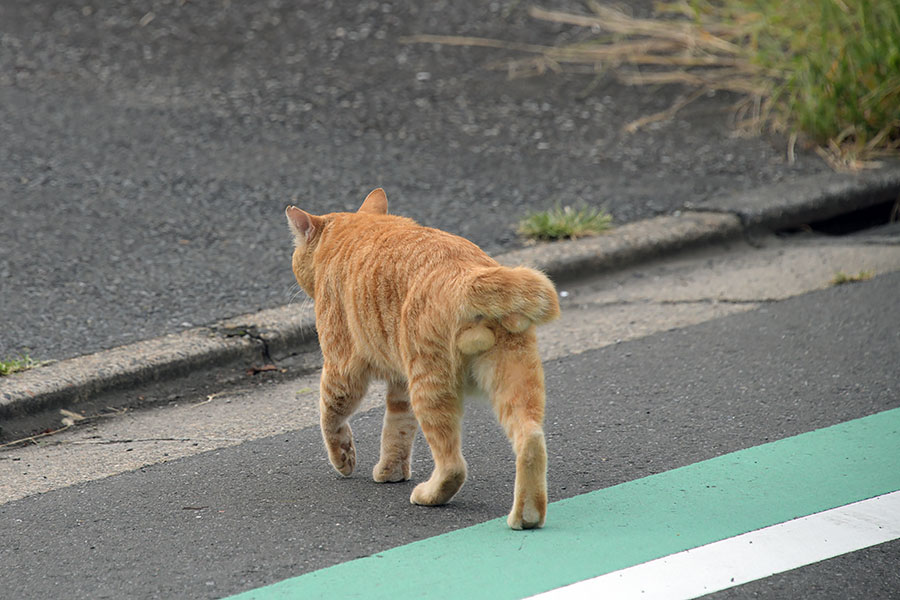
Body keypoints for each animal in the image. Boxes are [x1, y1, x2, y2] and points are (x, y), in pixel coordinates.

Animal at [284, 188, 560, 528]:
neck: (355, 230)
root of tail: (467, 274)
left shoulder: (342, 370)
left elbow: (330, 418)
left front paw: (344, 459)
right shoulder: (400, 384)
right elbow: (397, 430)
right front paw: (391, 471)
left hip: (429, 387)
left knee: (453, 465)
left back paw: (429, 495)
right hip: (512, 378)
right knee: (531, 439)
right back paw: (527, 515)